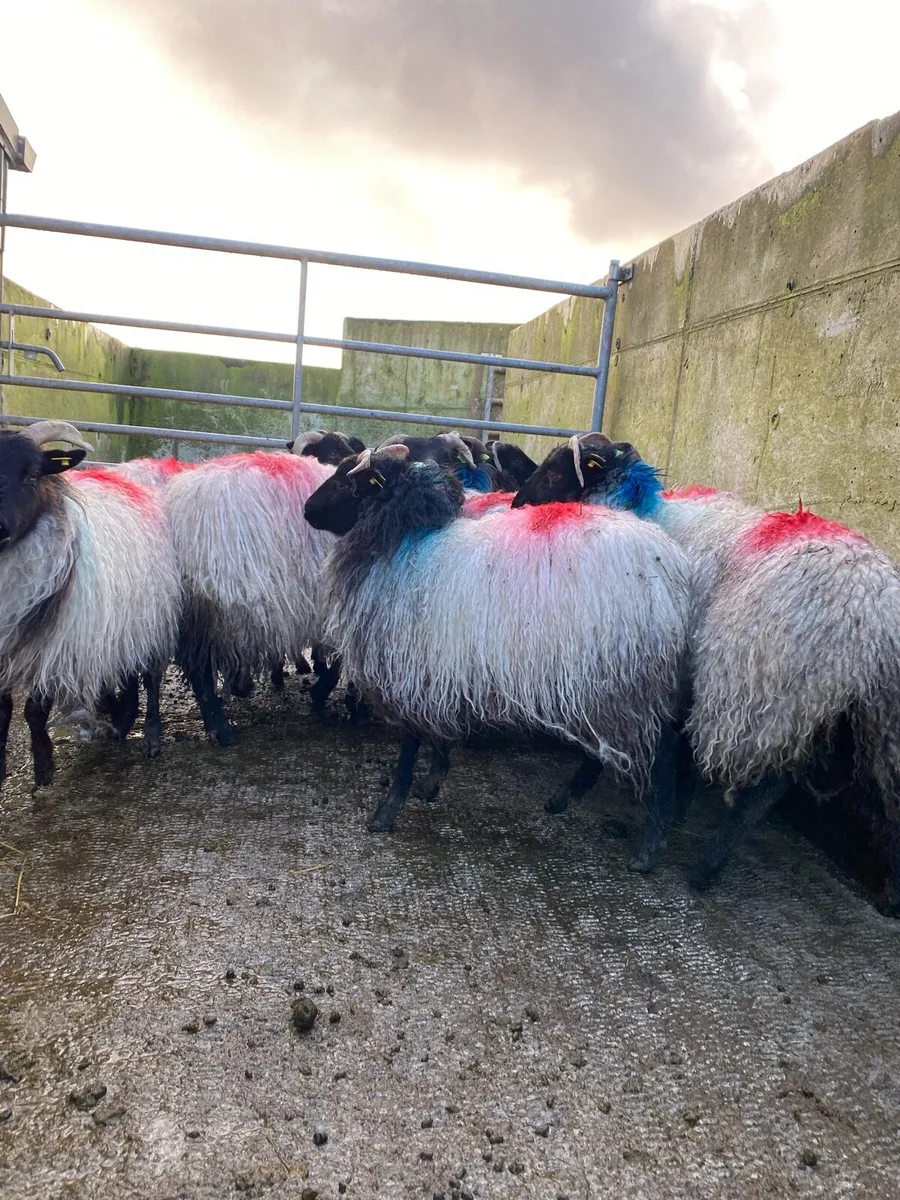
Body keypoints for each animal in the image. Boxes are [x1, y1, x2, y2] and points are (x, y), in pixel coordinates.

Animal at [0, 421, 181, 786]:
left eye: (32, 475)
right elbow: (3, 712)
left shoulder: (55, 647)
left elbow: (34, 711)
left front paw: (44, 770)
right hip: (119, 623)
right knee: (125, 670)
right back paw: (122, 719)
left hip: (153, 615)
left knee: (151, 678)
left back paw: (151, 736)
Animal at [304, 444, 695, 861]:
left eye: (348, 480)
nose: (307, 510)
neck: (407, 543)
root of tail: (672, 568)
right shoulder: (438, 667)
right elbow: (437, 731)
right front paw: (433, 781)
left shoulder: (412, 665)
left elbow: (410, 743)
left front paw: (387, 810)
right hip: (606, 681)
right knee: (604, 750)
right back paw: (563, 799)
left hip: (630, 677)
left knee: (662, 750)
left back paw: (649, 846)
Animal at [515, 434, 900, 910]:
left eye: (555, 471)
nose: (516, 503)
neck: (641, 509)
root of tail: (872, 609)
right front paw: (675, 810)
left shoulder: (652, 663)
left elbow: (638, 743)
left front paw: (614, 819)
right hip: (875, 719)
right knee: (885, 805)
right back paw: (891, 898)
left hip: (763, 687)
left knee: (765, 789)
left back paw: (706, 868)